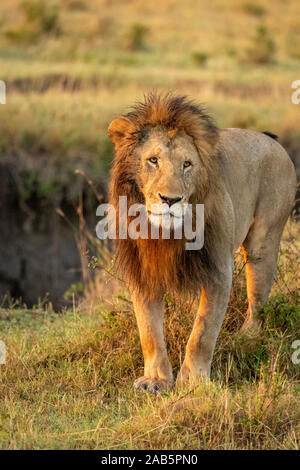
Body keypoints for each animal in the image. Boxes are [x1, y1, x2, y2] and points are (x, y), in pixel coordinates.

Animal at [106, 92, 296, 392]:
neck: (165, 235)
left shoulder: (218, 269)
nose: (170, 199)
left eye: (187, 164)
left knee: (257, 298)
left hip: (263, 242)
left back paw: (247, 337)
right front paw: (156, 380)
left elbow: (203, 332)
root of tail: (271, 139)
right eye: (153, 160)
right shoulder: (143, 271)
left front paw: (194, 381)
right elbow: (149, 330)